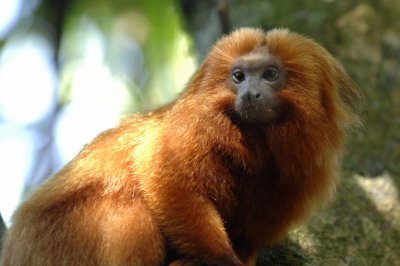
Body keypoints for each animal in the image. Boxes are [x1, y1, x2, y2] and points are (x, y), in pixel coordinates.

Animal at [0, 28, 362, 264]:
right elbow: (160, 167)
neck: (256, 142)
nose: (250, 94)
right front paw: (220, 259)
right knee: (129, 210)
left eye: (270, 74)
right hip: (63, 239)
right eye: (239, 77)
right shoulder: (195, 125)